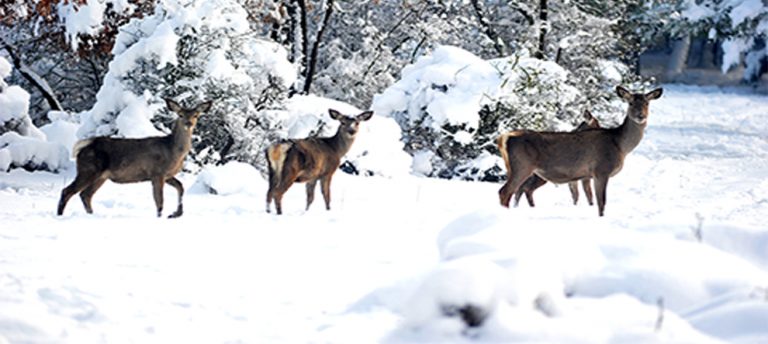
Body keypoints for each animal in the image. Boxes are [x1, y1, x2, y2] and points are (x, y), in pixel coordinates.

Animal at [56, 99, 213, 218]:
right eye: (180, 114)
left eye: (196, 115)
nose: (189, 123)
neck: (173, 151)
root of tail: (83, 147)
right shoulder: (157, 173)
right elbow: (159, 201)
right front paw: (161, 217)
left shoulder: (167, 175)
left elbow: (181, 187)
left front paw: (176, 214)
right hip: (88, 170)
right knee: (67, 191)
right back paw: (60, 216)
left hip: (101, 176)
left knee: (85, 195)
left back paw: (92, 215)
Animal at [496, 85, 664, 215]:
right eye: (630, 103)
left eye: (647, 103)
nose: (640, 116)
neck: (620, 145)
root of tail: (505, 137)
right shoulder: (601, 170)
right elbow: (601, 202)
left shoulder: (586, 175)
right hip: (522, 166)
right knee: (505, 191)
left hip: (516, 169)